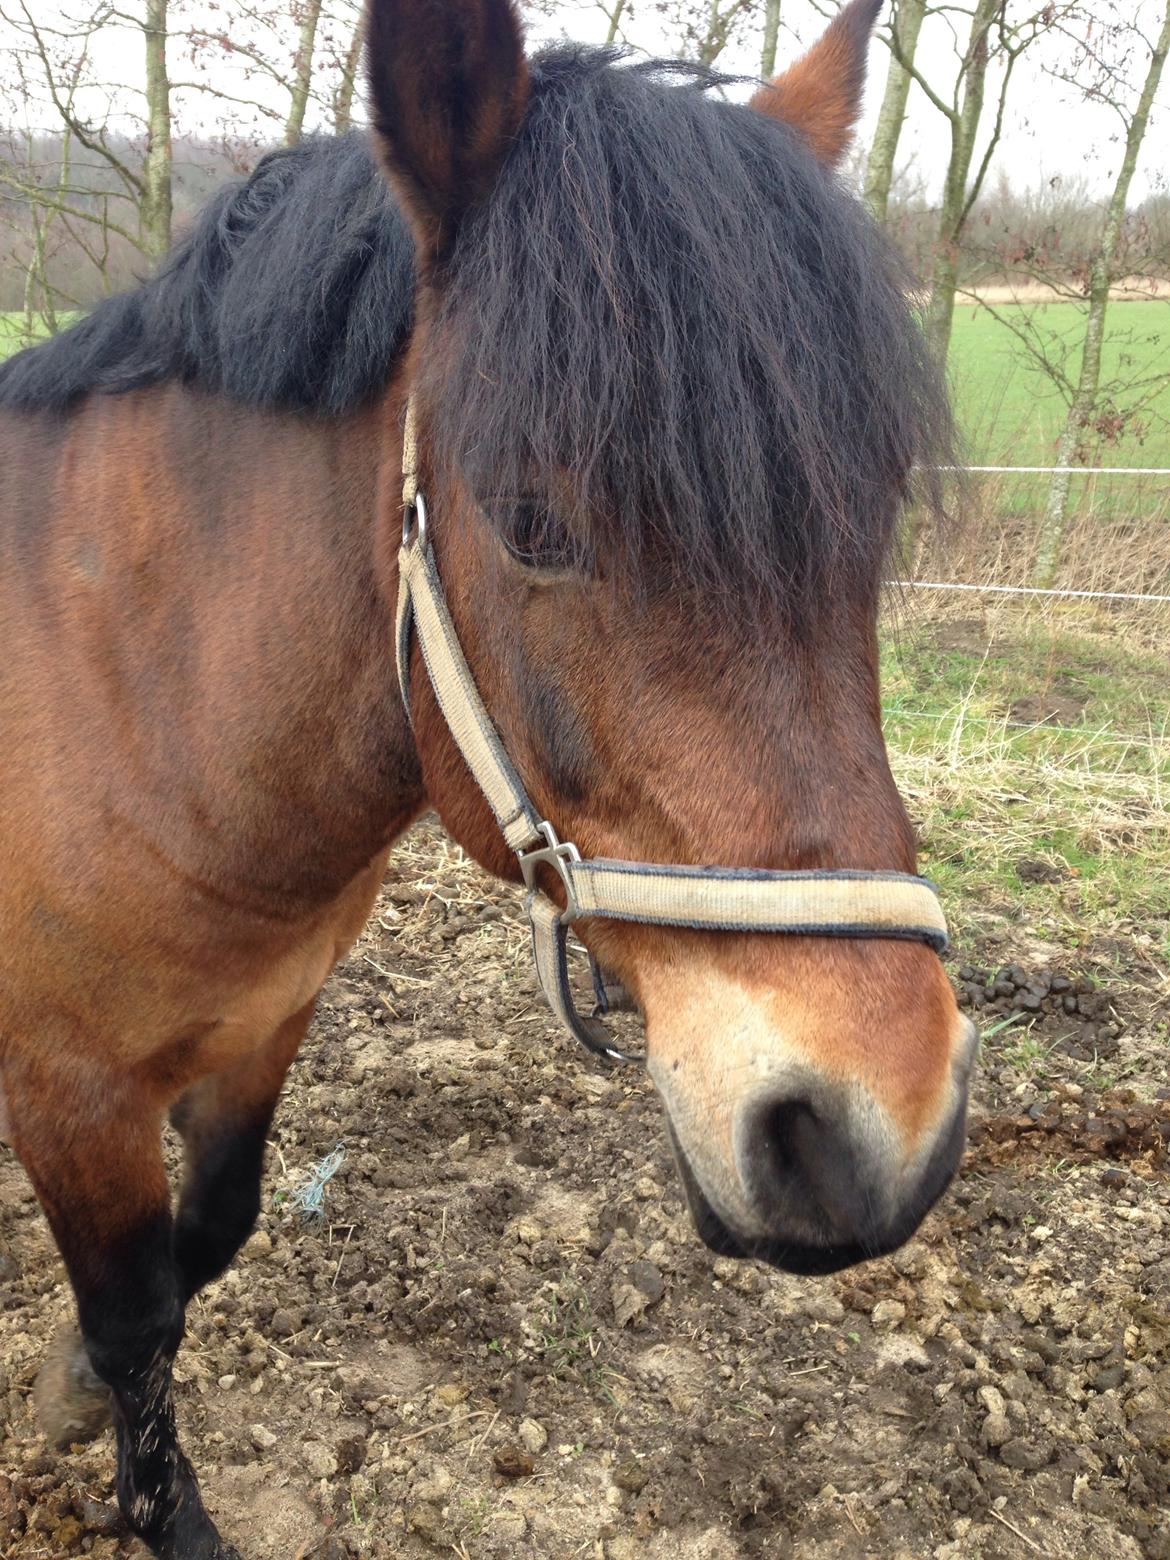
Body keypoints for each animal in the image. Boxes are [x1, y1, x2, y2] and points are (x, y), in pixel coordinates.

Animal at [0, 0, 979, 1553]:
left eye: (868, 516)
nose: (877, 1137)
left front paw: (69, 1387)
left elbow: (200, 1243)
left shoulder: (260, 1025)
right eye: (530, 522)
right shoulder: (67, 1085)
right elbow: (141, 1311)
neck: (128, 688)